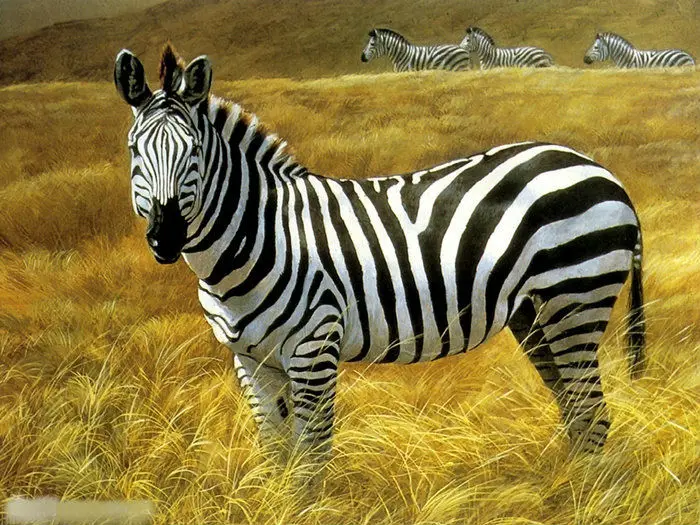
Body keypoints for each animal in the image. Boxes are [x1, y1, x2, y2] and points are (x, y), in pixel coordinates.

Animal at [114, 44, 646, 463]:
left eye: (194, 154)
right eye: (134, 151)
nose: (165, 238)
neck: (259, 237)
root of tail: (600, 169)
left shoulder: (314, 347)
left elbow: (310, 459)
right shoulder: (250, 359)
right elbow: (276, 453)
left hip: (574, 297)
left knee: (593, 416)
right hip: (534, 313)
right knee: (577, 413)